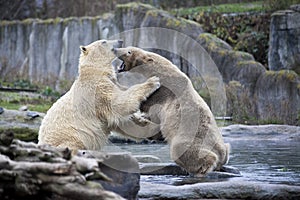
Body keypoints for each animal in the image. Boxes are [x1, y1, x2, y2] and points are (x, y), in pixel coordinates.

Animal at [114, 47, 230, 177]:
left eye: (129, 51)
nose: (115, 49)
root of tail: (222, 154)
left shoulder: (162, 92)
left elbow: (144, 102)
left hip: (191, 139)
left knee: (183, 150)